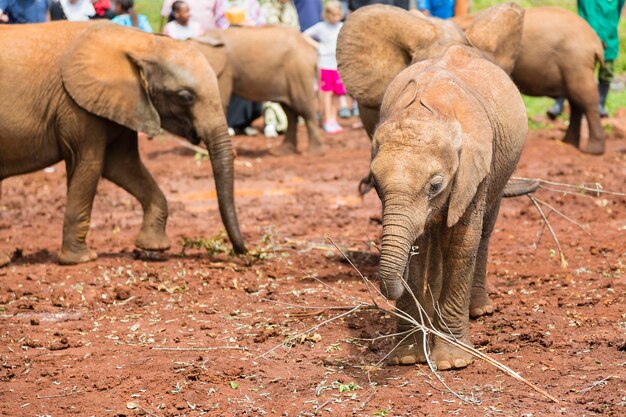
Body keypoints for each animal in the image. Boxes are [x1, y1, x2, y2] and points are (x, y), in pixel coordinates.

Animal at [0, 21, 246, 266]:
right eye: (185, 96)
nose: (242, 253)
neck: (140, 42)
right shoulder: (76, 104)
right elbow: (90, 164)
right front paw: (82, 259)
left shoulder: (124, 102)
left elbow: (122, 165)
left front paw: (153, 248)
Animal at [191, 26, 320, 156]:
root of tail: (310, 47)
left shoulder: (225, 70)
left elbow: (219, 102)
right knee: (291, 112)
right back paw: (281, 152)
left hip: (298, 71)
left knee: (304, 109)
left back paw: (314, 152)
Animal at [344, 2, 528, 368]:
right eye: (375, 185)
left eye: (435, 186)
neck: (427, 113)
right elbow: (418, 248)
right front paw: (406, 358)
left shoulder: (475, 165)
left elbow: (461, 242)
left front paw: (453, 362)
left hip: (501, 169)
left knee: (484, 230)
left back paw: (476, 311)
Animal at [454, 5, 604, 155]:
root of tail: (596, 42)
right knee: (575, 100)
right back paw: (568, 142)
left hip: (576, 61)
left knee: (584, 98)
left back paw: (592, 151)